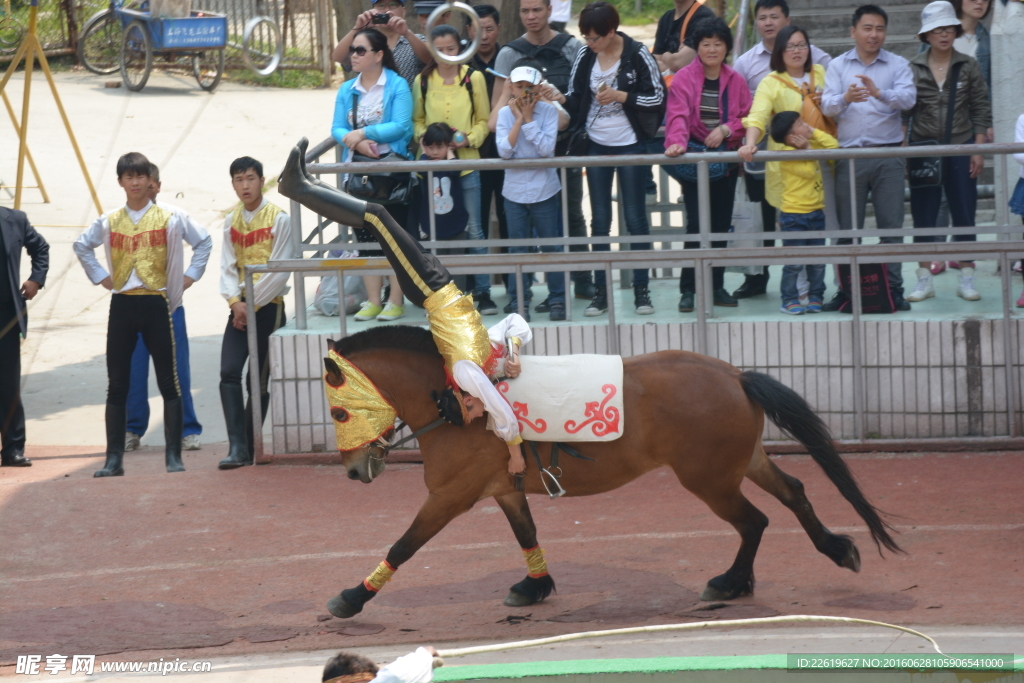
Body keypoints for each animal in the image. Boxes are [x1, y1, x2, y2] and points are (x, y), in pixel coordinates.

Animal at [319, 325, 897, 618]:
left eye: (339, 413)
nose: (354, 472)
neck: (454, 400)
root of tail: (736, 375)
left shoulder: (449, 495)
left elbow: (404, 545)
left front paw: (352, 597)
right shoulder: (504, 489)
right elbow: (526, 533)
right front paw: (534, 586)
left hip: (710, 479)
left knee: (754, 521)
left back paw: (728, 583)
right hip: (744, 462)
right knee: (793, 492)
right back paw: (834, 549)